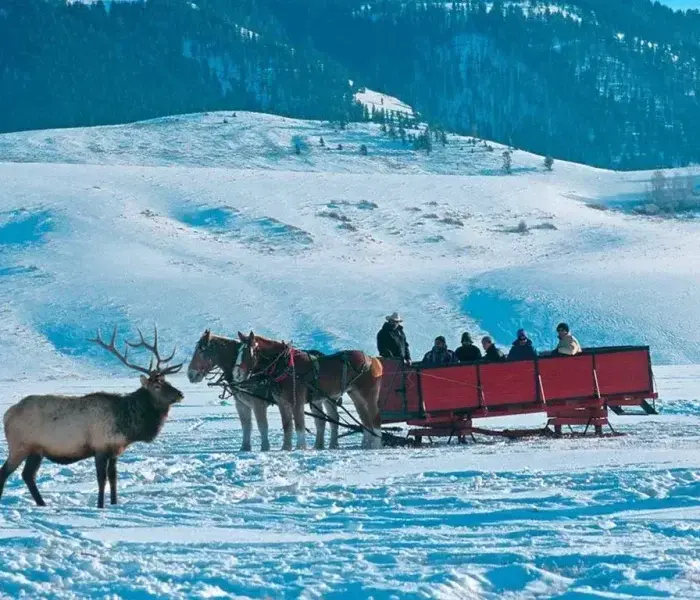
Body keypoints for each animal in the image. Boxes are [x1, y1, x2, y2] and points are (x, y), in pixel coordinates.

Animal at [0, 326, 184, 508]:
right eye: (157, 386)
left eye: (168, 381)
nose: (180, 394)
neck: (126, 423)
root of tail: (6, 415)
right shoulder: (100, 447)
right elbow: (101, 479)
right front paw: (100, 505)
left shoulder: (115, 450)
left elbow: (113, 478)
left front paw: (114, 503)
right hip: (19, 446)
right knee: (5, 472)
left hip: (36, 450)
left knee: (28, 475)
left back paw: (42, 503)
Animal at [236, 331, 384, 450]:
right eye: (238, 352)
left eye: (247, 352)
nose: (237, 374)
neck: (285, 365)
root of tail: (372, 359)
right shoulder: (282, 403)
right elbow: (287, 425)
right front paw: (286, 447)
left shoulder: (297, 401)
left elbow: (299, 425)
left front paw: (300, 447)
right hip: (355, 396)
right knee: (365, 420)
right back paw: (366, 444)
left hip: (368, 394)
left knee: (375, 417)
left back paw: (376, 444)